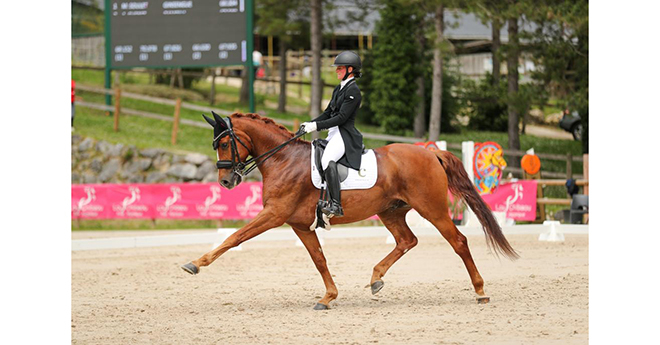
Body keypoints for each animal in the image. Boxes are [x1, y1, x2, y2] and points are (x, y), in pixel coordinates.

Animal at [182, 112, 520, 310]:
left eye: (225, 143)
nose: (226, 181)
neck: (283, 159)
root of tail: (431, 153)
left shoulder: (274, 214)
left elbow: (234, 238)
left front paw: (195, 264)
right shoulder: (299, 224)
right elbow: (319, 259)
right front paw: (328, 297)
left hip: (432, 209)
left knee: (458, 242)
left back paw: (480, 291)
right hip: (391, 211)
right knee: (407, 241)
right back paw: (376, 278)